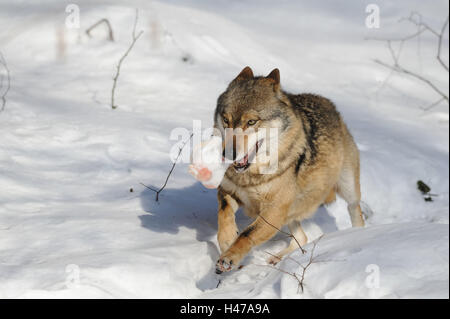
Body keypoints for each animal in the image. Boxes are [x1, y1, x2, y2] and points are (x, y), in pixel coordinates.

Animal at [213, 66, 364, 274]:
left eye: (251, 122)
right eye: (226, 120)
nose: (228, 153)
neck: (253, 177)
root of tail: (330, 105)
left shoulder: (273, 211)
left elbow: (246, 234)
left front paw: (229, 258)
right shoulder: (229, 192)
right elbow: (224, 215)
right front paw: (227, 241)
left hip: (347, 189)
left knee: (356, 211)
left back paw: (359, 236)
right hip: (291, 214)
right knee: (302, 238)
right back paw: (277, 258)